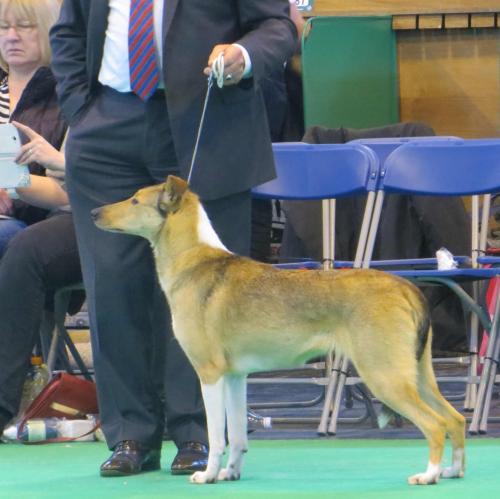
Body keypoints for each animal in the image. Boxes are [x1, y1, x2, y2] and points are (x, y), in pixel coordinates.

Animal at [92, 175, 466, 486]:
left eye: (135, 201)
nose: (95, 212)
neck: (194, 261)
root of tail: (406, 287)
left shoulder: (209, 372)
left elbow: (216, 436)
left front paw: (208, 475)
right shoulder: (234, 376)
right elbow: (237, 435)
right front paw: (230, 473)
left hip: (385, 374)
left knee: (435, 425)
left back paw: (429, 475)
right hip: (416, 372)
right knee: (455, 418)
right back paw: (453, 471)